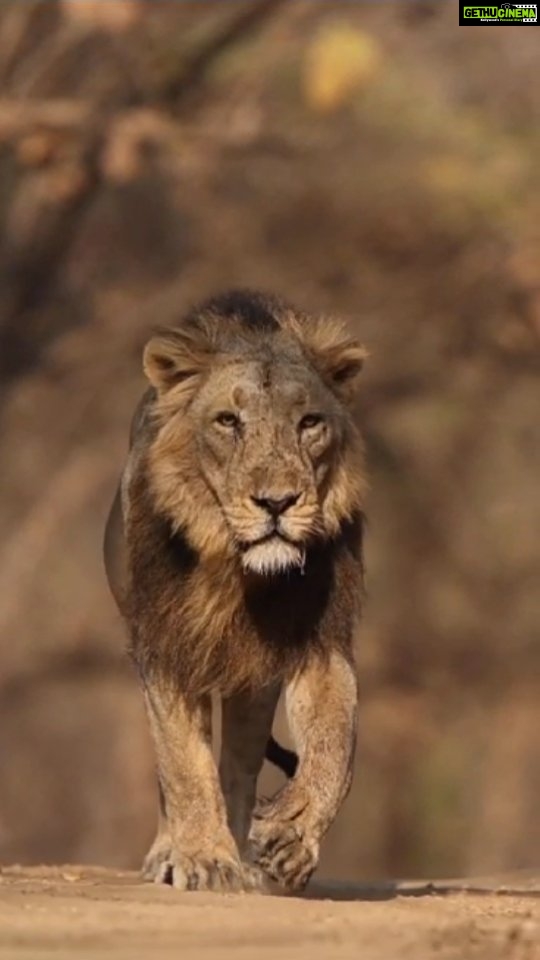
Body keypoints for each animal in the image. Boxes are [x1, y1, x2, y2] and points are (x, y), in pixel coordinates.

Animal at [104, 286, 368, 892]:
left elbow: (333, 743)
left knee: (241, 763)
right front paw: (201, 857)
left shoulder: (317, 638)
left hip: (253, 681)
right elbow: (181, 763)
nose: (277, 502)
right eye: (228, 421)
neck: (238, 568)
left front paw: (291, 835)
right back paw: (173, 853)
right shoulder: (165, 645)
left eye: (310, 422)